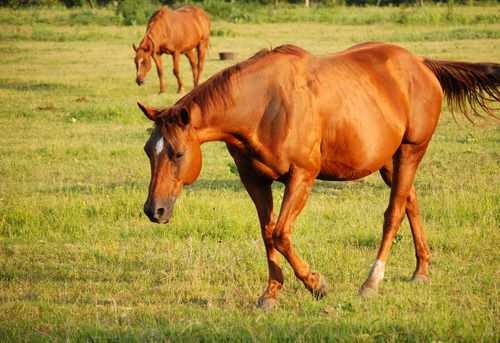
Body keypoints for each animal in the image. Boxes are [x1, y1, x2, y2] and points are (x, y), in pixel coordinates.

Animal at [137, 42, 500, 310]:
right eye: (148, 151)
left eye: (177, 153)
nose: (154, 210)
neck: (264, 106)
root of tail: (420, 64)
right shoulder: (255, 181)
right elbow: (267, 234)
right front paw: (270, 294)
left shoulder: (302, 176)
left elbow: (281, 234)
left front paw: (316, 284)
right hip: (389, 161)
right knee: (410, 202)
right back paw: (421, 270)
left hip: (411, 151)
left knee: (394, 212)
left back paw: (372, 281)